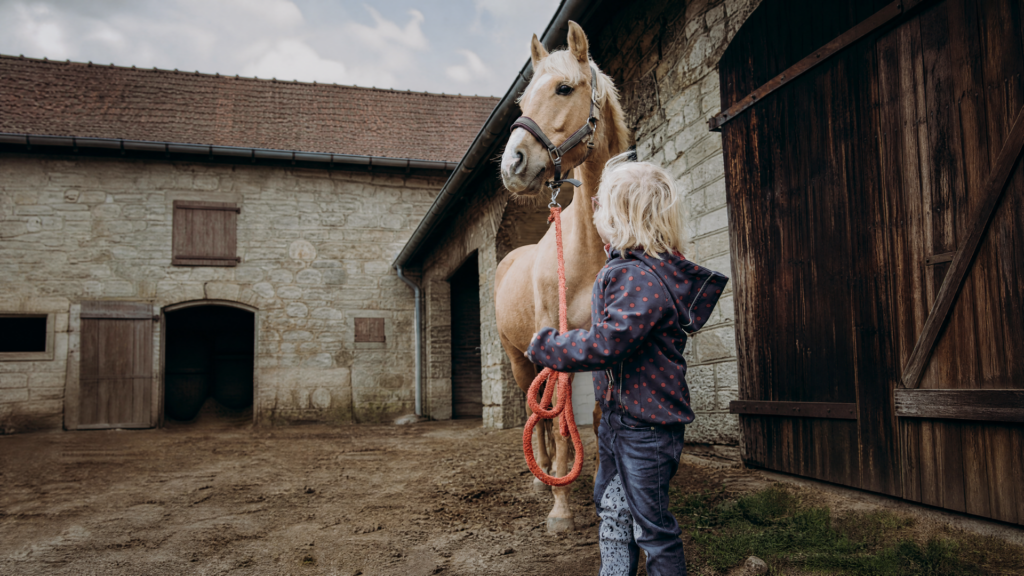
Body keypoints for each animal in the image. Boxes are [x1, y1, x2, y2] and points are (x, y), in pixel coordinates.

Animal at [495, 21, 629, 533]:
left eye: (564, 88)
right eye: (522, 99)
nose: (511, 164)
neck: (587, 248)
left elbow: (593, 419)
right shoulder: (557, 344)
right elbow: (557, 419)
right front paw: (559, 508)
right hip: (519, 358)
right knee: (537, 412)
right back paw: (542, 479)